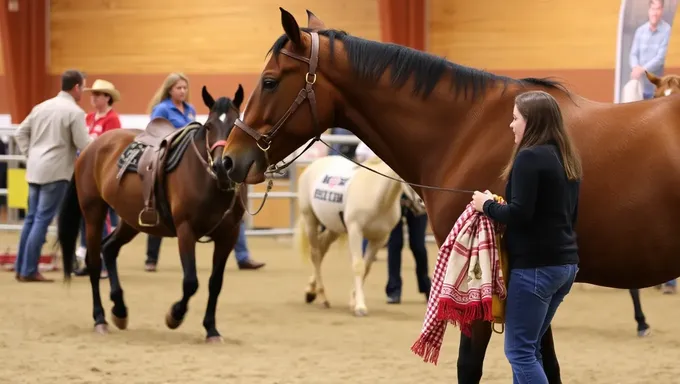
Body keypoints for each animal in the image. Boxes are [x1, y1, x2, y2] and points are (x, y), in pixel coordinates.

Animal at [56, 85, 244, 342]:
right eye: (209, 126)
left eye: (236, 124)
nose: (222, 166)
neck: (208, 181)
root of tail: (89, 148)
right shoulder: (186, 231)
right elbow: (191, 281)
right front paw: (174, 315)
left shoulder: (228, 236)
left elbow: (215, 283)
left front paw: (211, 329)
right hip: (93, 213)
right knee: (94, 262)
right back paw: (100, 318)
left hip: (131, 220)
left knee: (109, 248)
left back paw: (120, 310)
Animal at [294, 154, 424, 316]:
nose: (422, 204)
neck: (376, 195)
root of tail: (313, 165)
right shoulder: (355, 231)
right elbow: (358, 266)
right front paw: (360, 307)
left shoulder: (380, 239)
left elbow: (366, 268)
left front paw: (353, 302)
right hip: (310, 220)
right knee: (316, 254)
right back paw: (322, 298)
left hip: (334, 228)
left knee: (322, 248)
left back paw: (311, 292)